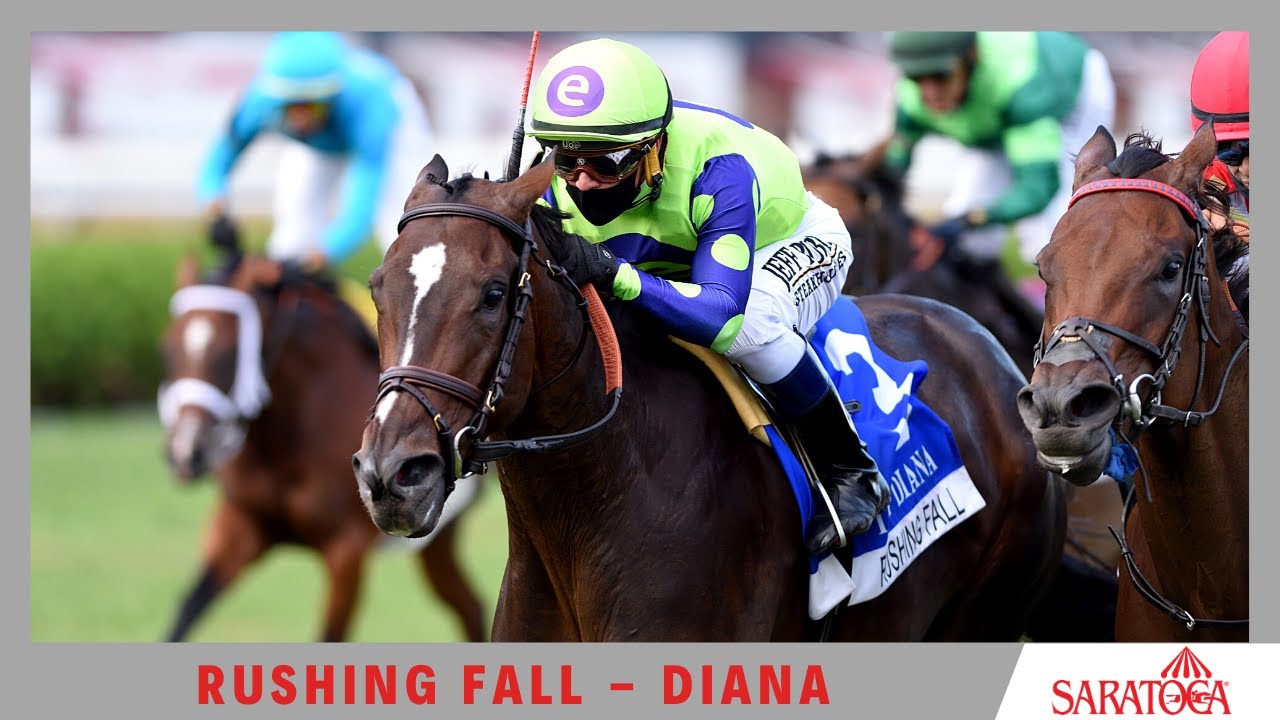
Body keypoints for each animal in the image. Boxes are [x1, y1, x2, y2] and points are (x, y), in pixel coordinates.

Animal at [158, 241, 487, 642]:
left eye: (230, 353)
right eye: (167, 350)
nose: (185, 451)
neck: (287, 438)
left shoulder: (346, 550)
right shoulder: (241, 528)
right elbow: (184, 614)